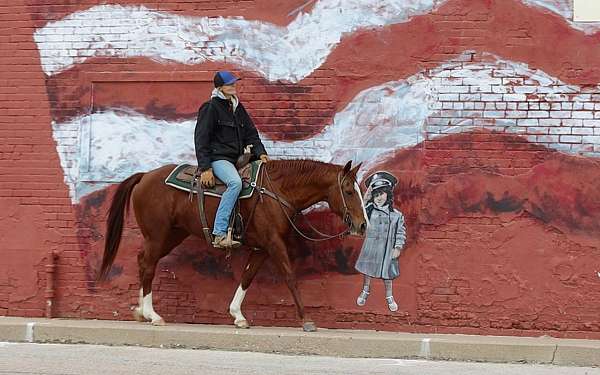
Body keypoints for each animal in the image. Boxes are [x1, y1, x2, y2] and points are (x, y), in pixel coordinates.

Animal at [98, 159, 368, 332]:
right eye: (348, 191)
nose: (363, 225)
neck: (276, 191)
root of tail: (144, 176)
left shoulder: (262, 248)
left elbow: (247, 277)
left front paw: (238, 316)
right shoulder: (274, 243)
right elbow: (290, 277)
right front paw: (306, 320)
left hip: (171, 235)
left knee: (143, 261)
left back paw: (141, 311)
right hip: (157, 235)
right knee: (148, 265)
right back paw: (152, 315)